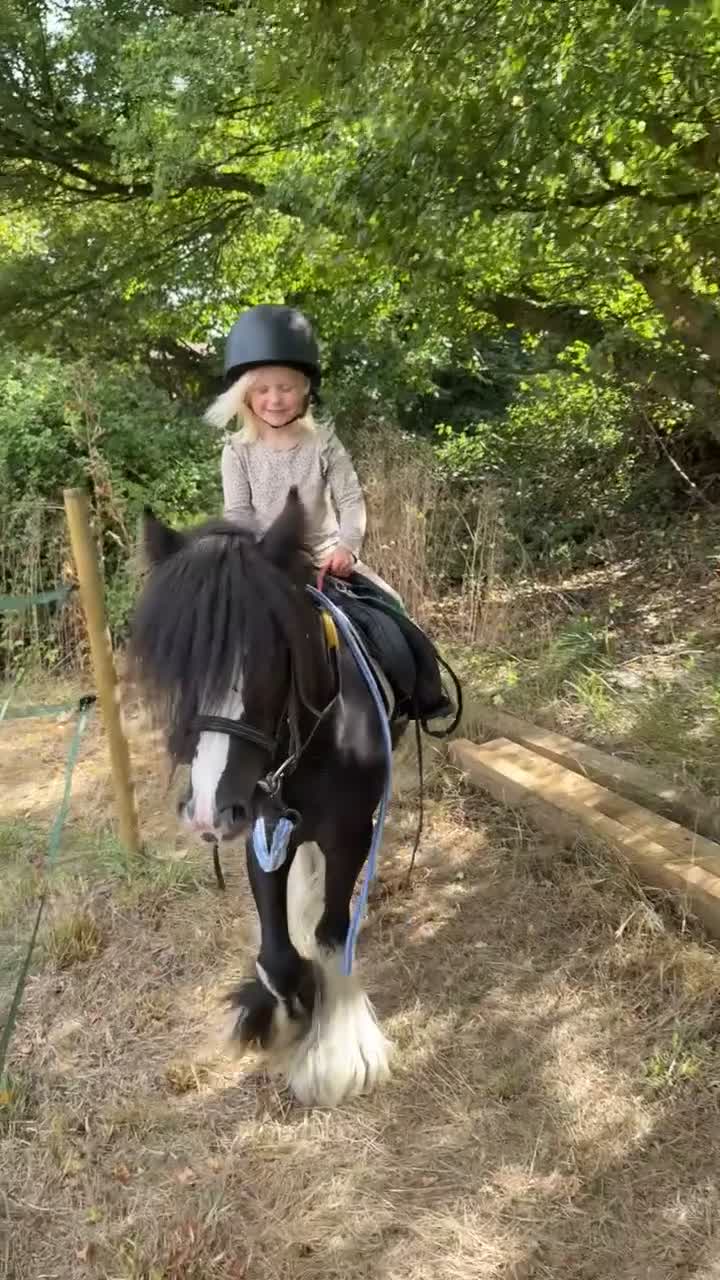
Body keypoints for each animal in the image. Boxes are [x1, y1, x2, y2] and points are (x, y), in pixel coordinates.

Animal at [129, 488, 407, 1107]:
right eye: (176, 666)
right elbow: (277, 955)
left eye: (272, 656)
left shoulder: (349, 833)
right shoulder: (261, 828)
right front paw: (280, 1015)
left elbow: (331, 934)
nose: (206, 812)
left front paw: (339, 1053)